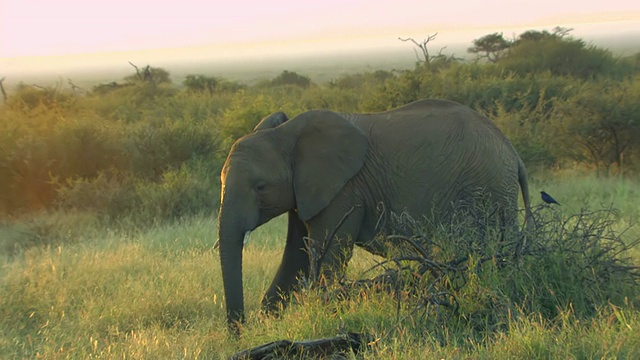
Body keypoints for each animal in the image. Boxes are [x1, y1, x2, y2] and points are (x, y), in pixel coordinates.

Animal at [218, 97, 532, 330]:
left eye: (260, 187)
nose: (239, 330)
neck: (285, 134)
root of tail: (514, 154)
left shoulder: (344, 191)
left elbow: (325, 256)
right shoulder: (307, 191)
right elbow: (296, 259)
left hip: (487, 191)